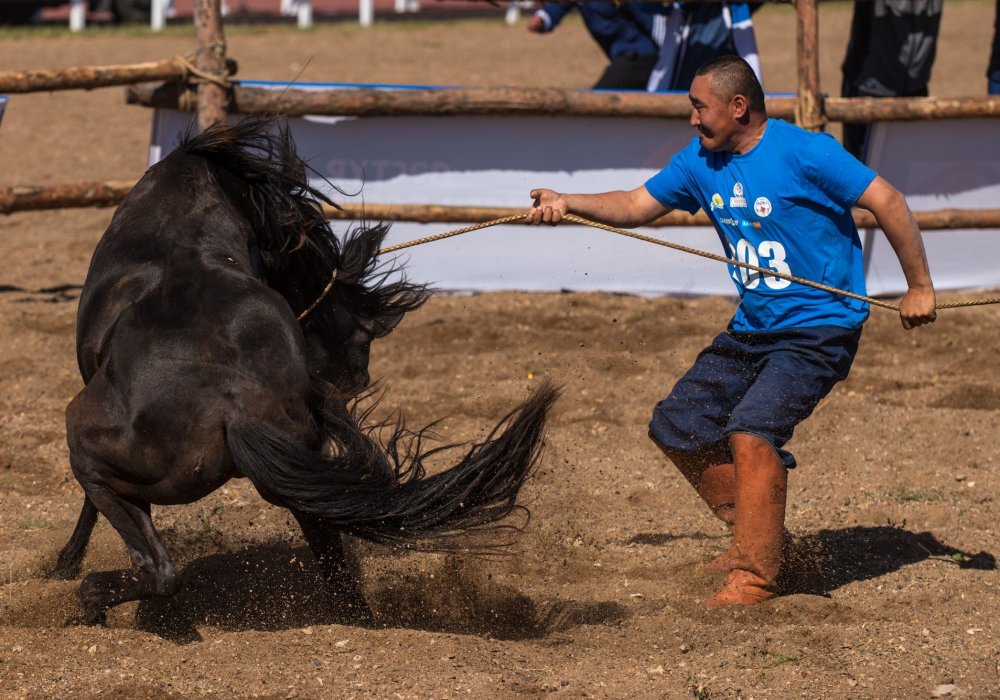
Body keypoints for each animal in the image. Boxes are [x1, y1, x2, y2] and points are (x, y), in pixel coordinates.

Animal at [52, 117, 564, 628]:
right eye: (361, 333)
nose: (355, 378)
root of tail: (234, 408)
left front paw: (65, 563)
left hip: (89, 449)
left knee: (158, 569)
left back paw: (89, 596)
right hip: (304, 482)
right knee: (333, 560)